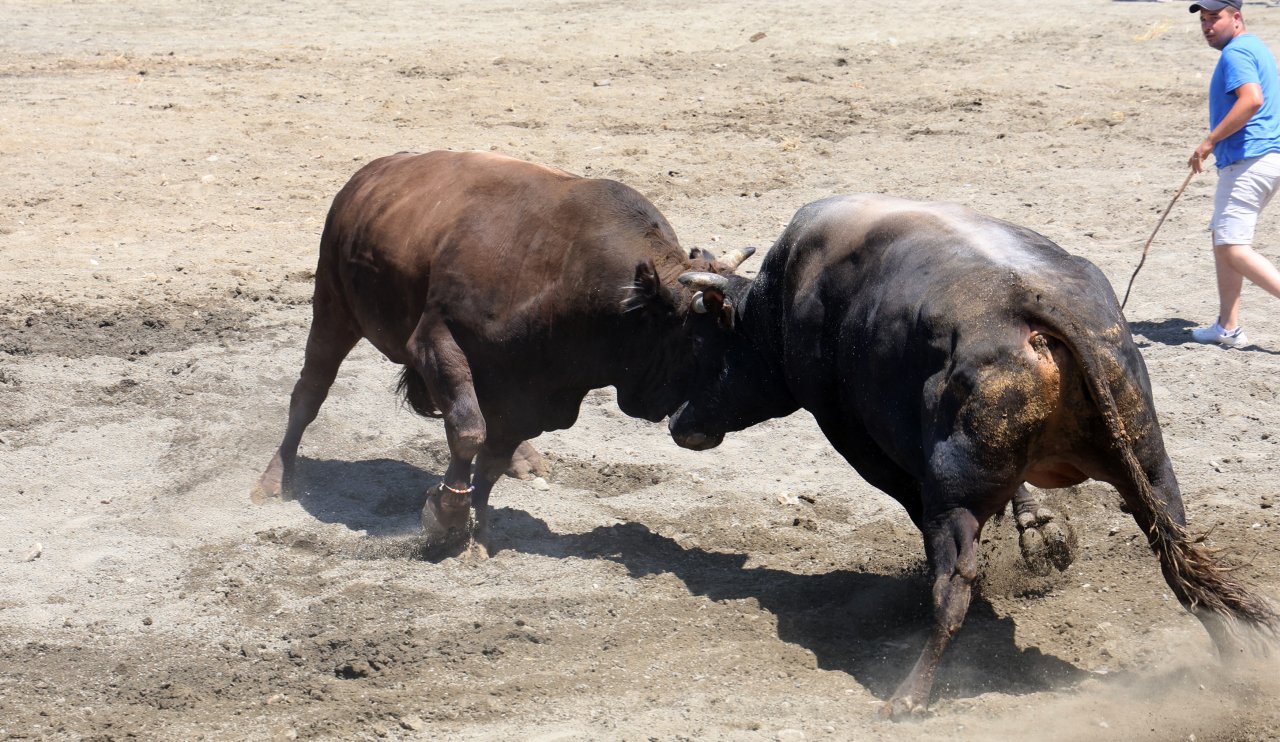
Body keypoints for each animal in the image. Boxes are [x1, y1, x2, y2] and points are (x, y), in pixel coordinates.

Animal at [670, 193, 1280, 716]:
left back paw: (910, 696)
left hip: (956, 500)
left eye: (702, 343)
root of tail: (1030, 304)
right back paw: (1231, 665)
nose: (677, 422)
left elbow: (913, 502)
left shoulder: (859, 442)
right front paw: (1041, 530)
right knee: (1177, 558)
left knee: (954, 586)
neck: (785, 296)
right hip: (1149, 468)